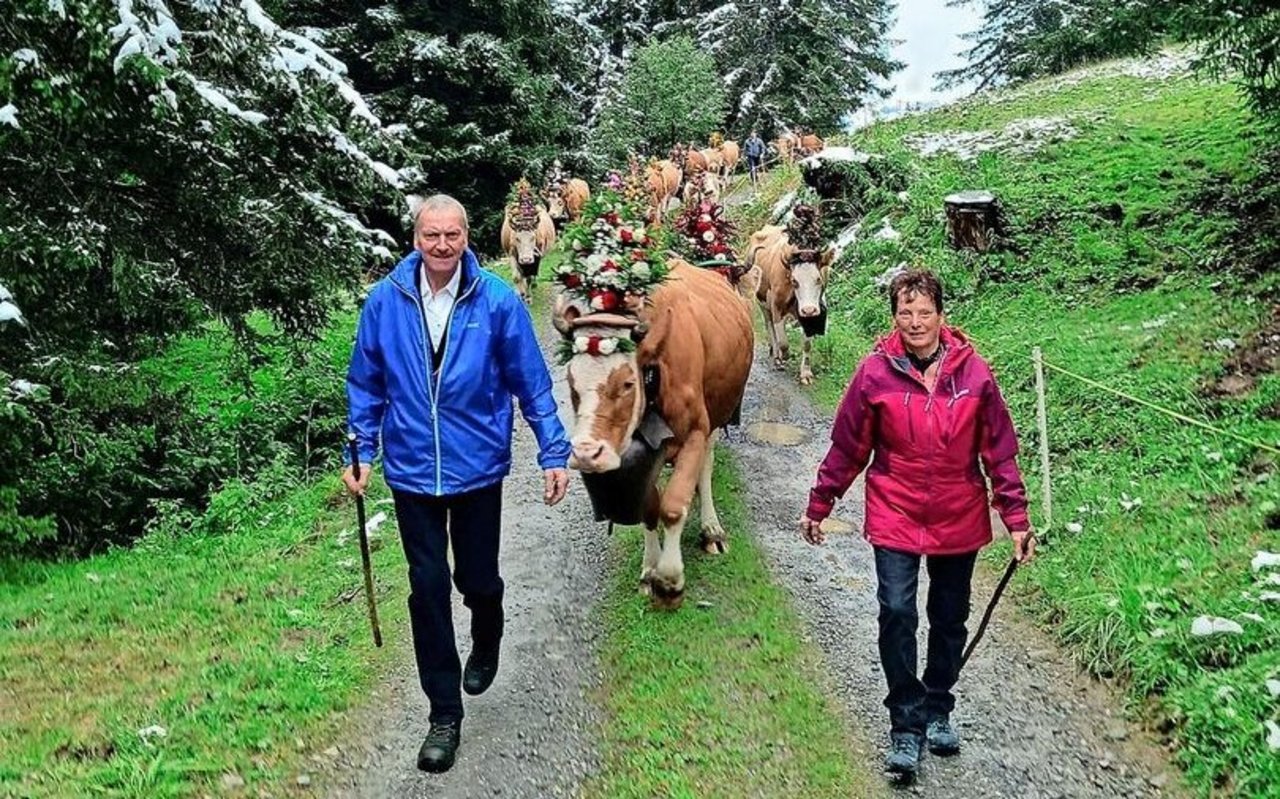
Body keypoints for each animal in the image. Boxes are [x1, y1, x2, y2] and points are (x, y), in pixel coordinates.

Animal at [547, 171, 747, 609]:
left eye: (626, 383)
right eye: (570, 383)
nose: (586, 455)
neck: (655, 373)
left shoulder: (695, 431)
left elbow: (673, 506)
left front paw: (670, 581)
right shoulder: (639, 453)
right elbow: (649, 508)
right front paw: (649, 570)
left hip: (717, 414)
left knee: (706, 467)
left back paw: (711, 529)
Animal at [747, 221, 834, 384]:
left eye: (818, 279)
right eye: (794, 281)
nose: (808, 310)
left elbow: (807, 344)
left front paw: (805, 373)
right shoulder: (776, 307)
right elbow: (783, 342)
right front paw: (783, 356)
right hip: (763, 305)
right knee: (770, 328)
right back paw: (776, 356)